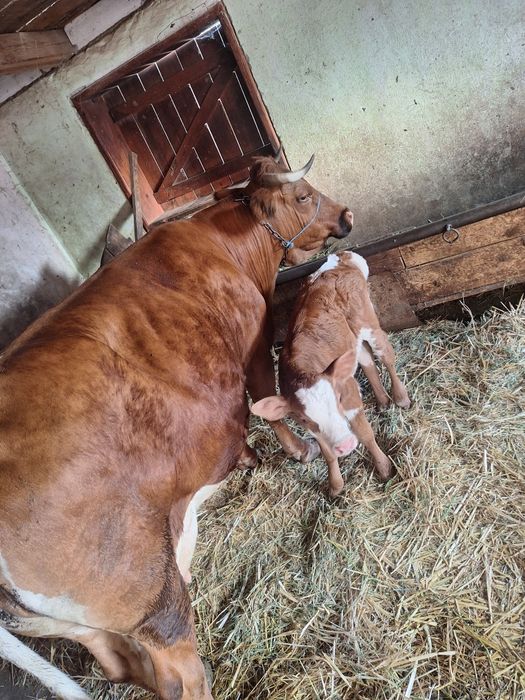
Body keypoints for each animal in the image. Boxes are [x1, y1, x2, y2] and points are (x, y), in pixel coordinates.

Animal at [0, 155, 353, 699]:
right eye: (301, 195)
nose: (346, 216)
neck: (222, 245)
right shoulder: (254, 339)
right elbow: (262, 399)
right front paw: (297, 451)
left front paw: (249, 457)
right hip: (152, 598)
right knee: (178, 677)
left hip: (82, 627)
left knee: (121, 667)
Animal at [250, 251, 410, 497]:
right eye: (304, 418)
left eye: (339, 399)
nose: (345, 446)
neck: (302, 370)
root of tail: (339, 259)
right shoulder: (315, 428)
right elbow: (327, 452)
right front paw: (335, 486)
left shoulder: (350, 394)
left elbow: (365, 433)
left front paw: (384, 468)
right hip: (350, 340)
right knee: (366, 359)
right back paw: (383, 401)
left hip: (367, 321)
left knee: (386, 355)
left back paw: (400, 397)